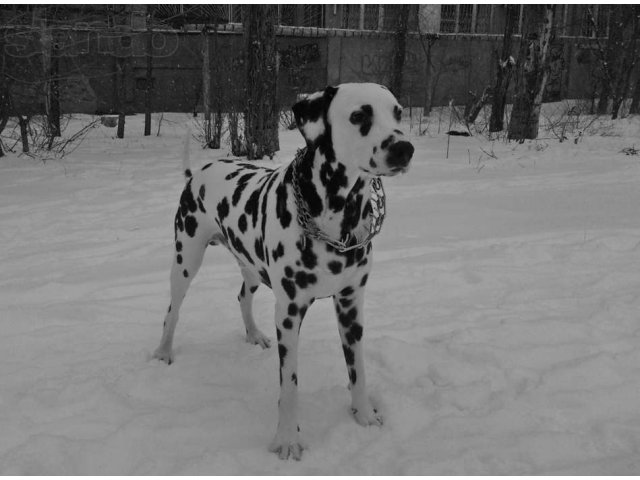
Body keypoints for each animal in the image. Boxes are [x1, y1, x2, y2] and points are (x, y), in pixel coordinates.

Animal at [154, 83, 416, 462]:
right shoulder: (289, 314)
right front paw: (288, 439)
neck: (335, 220)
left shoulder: (351, 306)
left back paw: (254, 333)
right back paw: (163, 351)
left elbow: (358, 370)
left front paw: (364, 415)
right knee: (172, 311)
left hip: (251, 267)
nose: (403, 148)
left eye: (397, 112)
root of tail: (197, 173)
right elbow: (289, 386)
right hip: (185, 259)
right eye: (358, 115)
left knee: (242, 296)